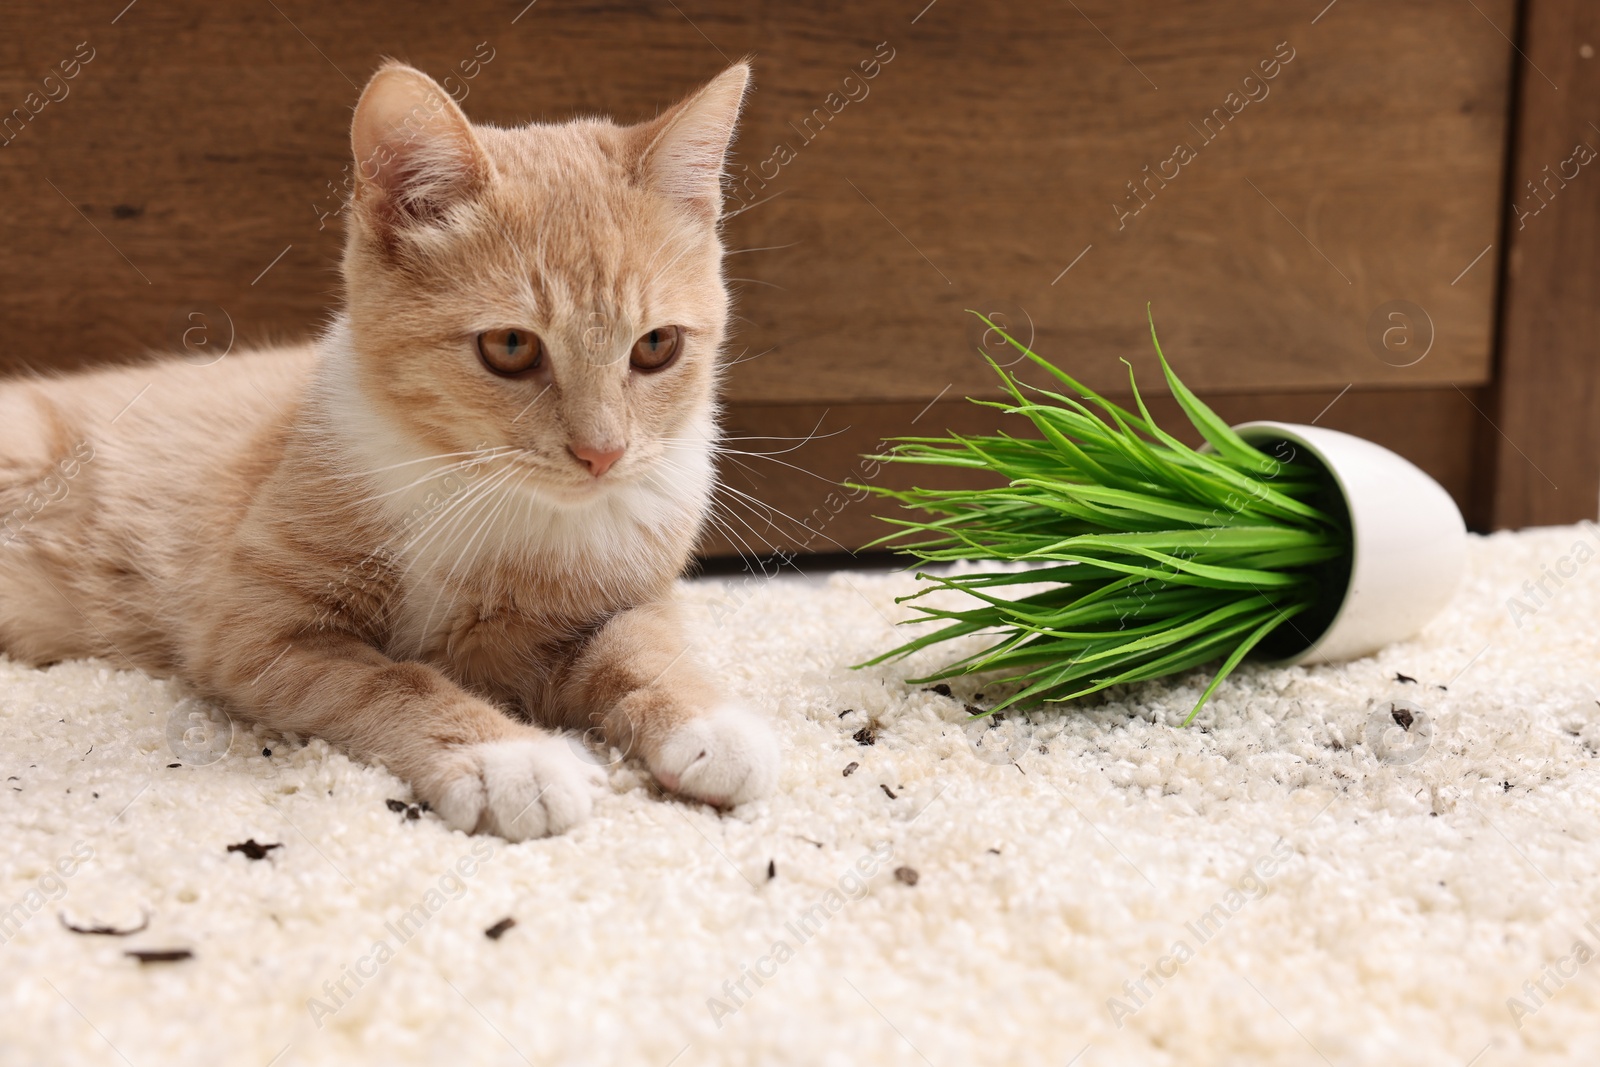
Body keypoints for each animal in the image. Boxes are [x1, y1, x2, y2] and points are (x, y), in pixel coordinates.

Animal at [0, 62, 777, 838]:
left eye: (656, 345)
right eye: (511, 346)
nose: (602, 454)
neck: (490, 502)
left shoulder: (634, 594)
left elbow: (647, 648)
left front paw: (708, 723)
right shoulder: (258, 633)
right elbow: (394, 681)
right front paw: (511, 758)